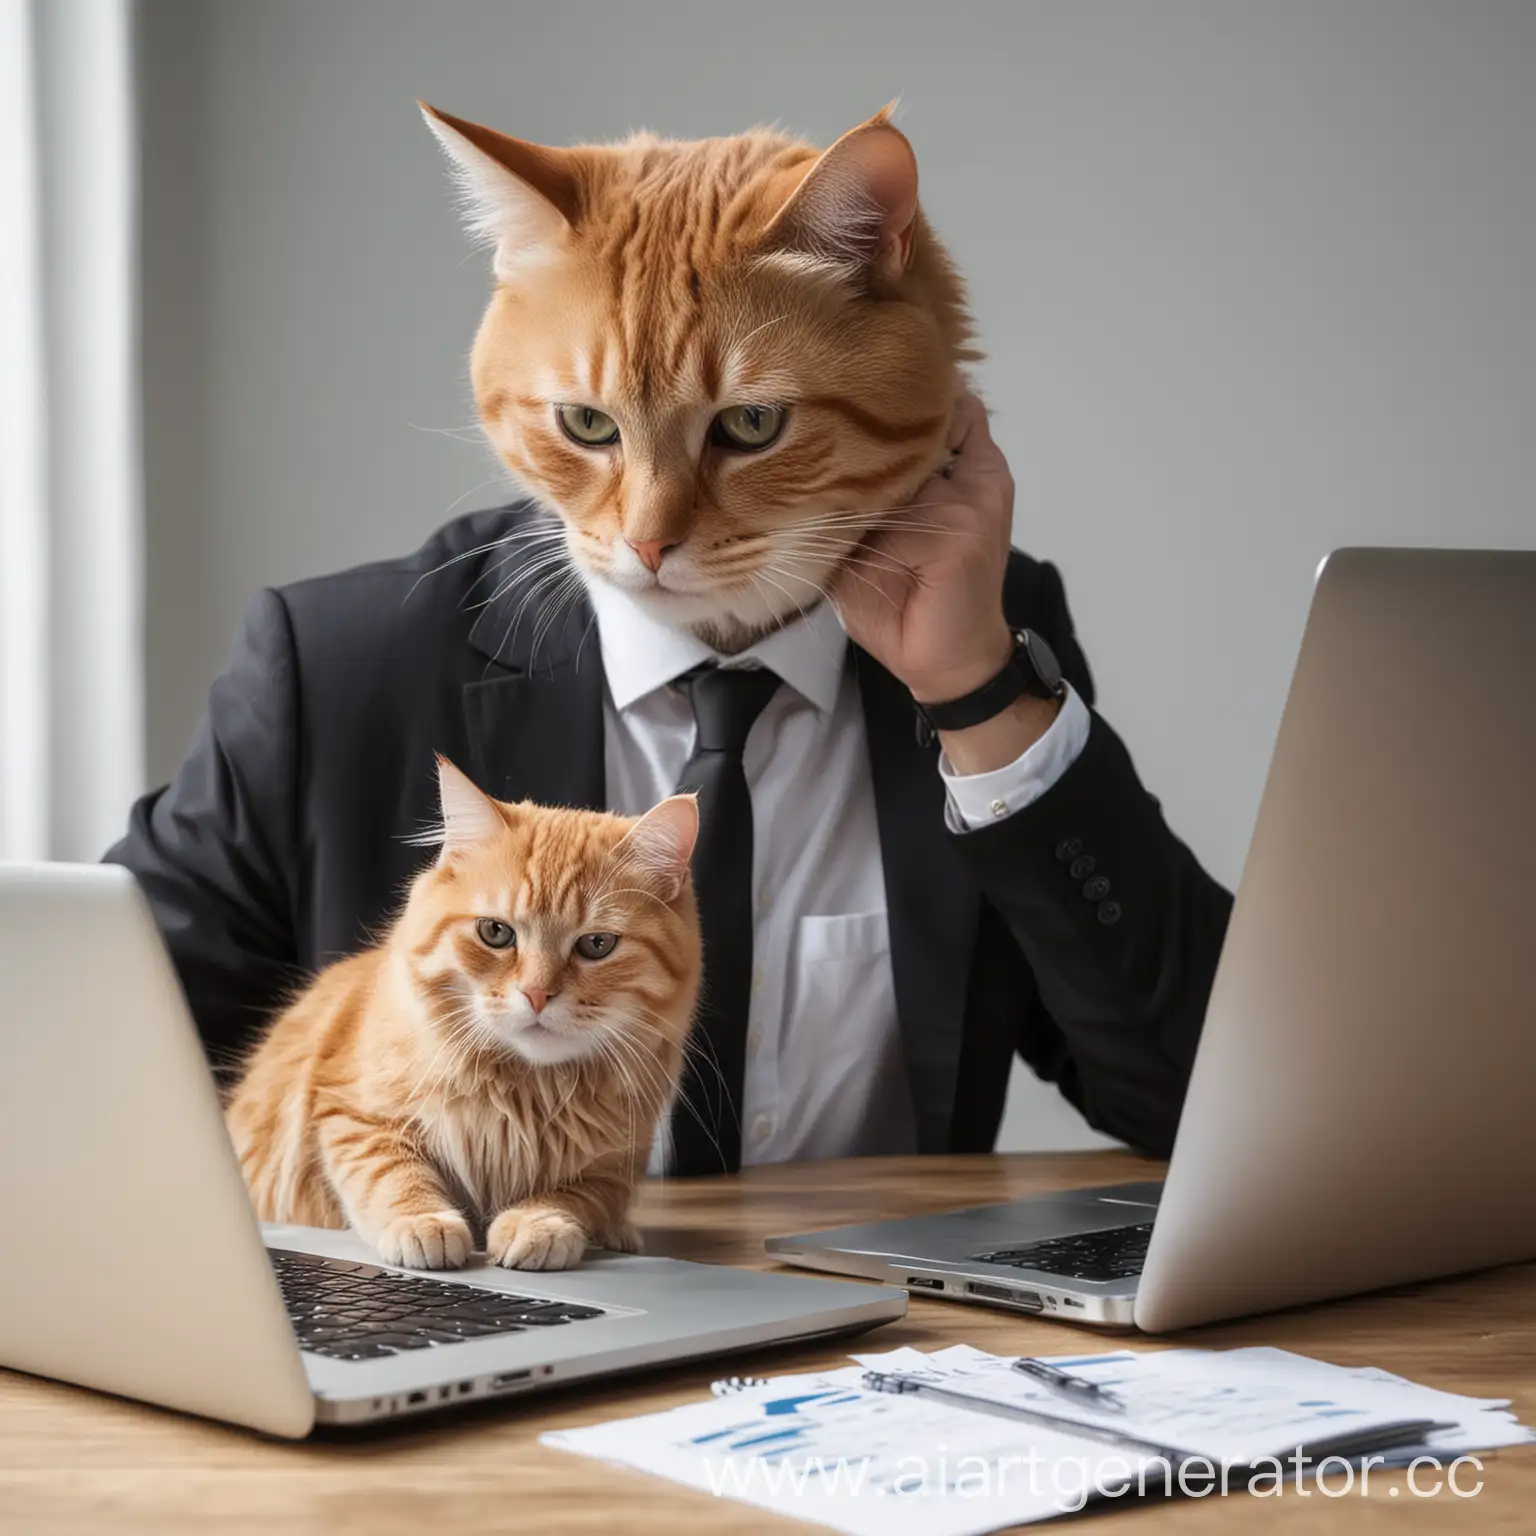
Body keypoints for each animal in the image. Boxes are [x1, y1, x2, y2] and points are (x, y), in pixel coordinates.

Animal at [224, 758, 703, 1271]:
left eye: (597, 944)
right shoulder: (350, 1113)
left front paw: (539, 1224)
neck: (527, 1090)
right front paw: (425, 1223)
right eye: (495, 933)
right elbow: (394, 1172)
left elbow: (572, 1196)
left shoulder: (613, 1166)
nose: (537, 994)